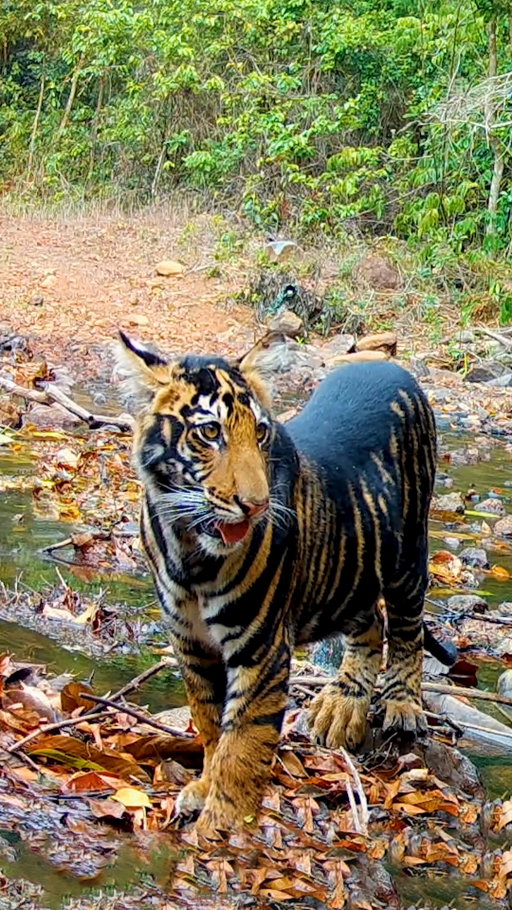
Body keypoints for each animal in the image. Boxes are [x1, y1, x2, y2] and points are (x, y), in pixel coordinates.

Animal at [117, 330, 454, 833]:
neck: (189, 548)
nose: (256, 505)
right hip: (350, 575)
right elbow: (210, 721)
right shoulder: (190, 641)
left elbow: (243, 743)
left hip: (408, 558)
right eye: (210, 433)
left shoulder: (261, 648)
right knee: (370, 625)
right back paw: (341, 705)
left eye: (259, 432)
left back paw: (402, 706)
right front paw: (204, 787)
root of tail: (388, 366)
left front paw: (222, 826)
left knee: (406, 630)